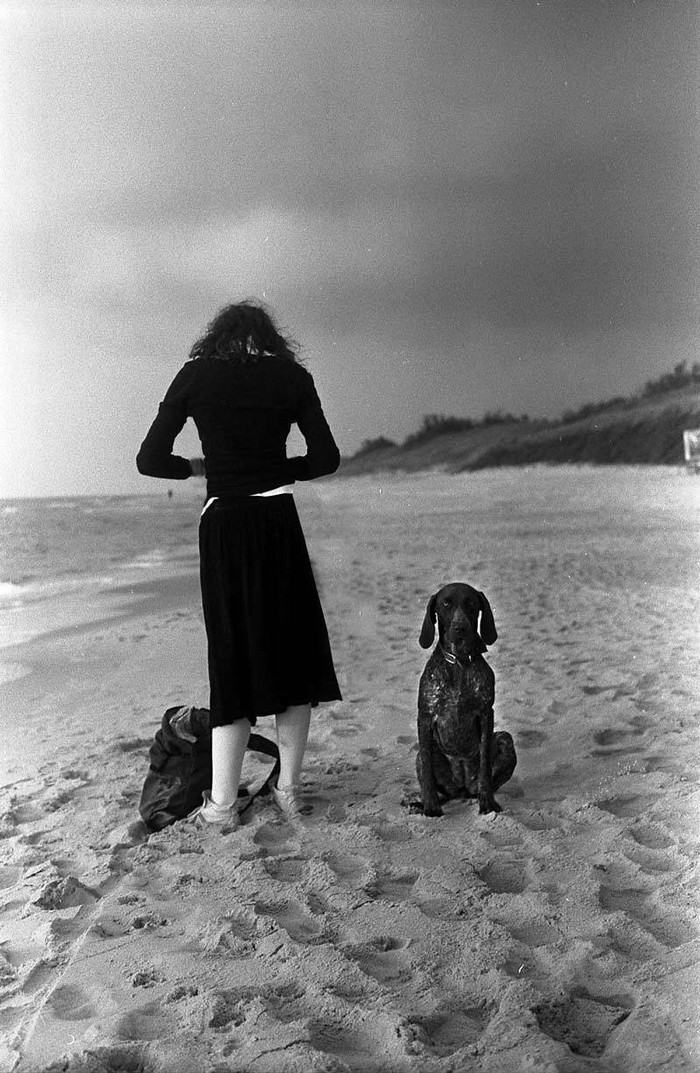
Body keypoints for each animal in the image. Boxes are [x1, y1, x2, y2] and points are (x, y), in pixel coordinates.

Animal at [412, 583, 517, 815]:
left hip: (505, 738)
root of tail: (461, 788)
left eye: (471, 603)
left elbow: (485, 766)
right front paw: (430, 807)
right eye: (445, 603)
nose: (460, 627)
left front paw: (487, 803)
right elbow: (428, 777)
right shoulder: (425, 716)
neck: (459, 662)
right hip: (423, 755)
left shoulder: (486, 714)